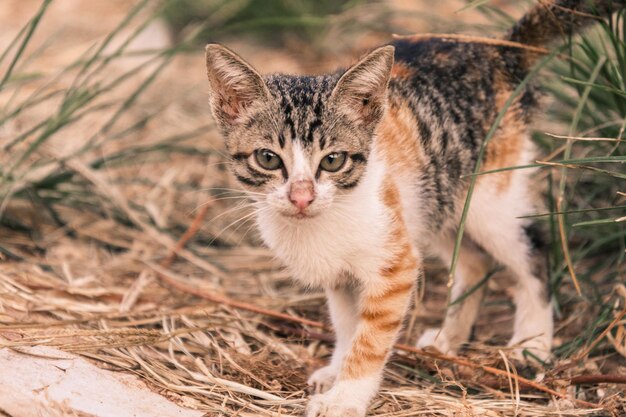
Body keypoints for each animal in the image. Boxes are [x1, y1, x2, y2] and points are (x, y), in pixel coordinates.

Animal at [204, 0, 620, 416]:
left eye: (334, 160)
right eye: (268, 159)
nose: (302, 197)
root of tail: (497, 50)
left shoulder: (394, 264)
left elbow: (370, 338)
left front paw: (345, 396)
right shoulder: (343, 276)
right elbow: (347, 324)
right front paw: (336, 370)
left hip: (488, 199)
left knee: (532, 252)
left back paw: (531, 343)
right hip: (435, 200)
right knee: (475, 262)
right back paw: (448, 340)